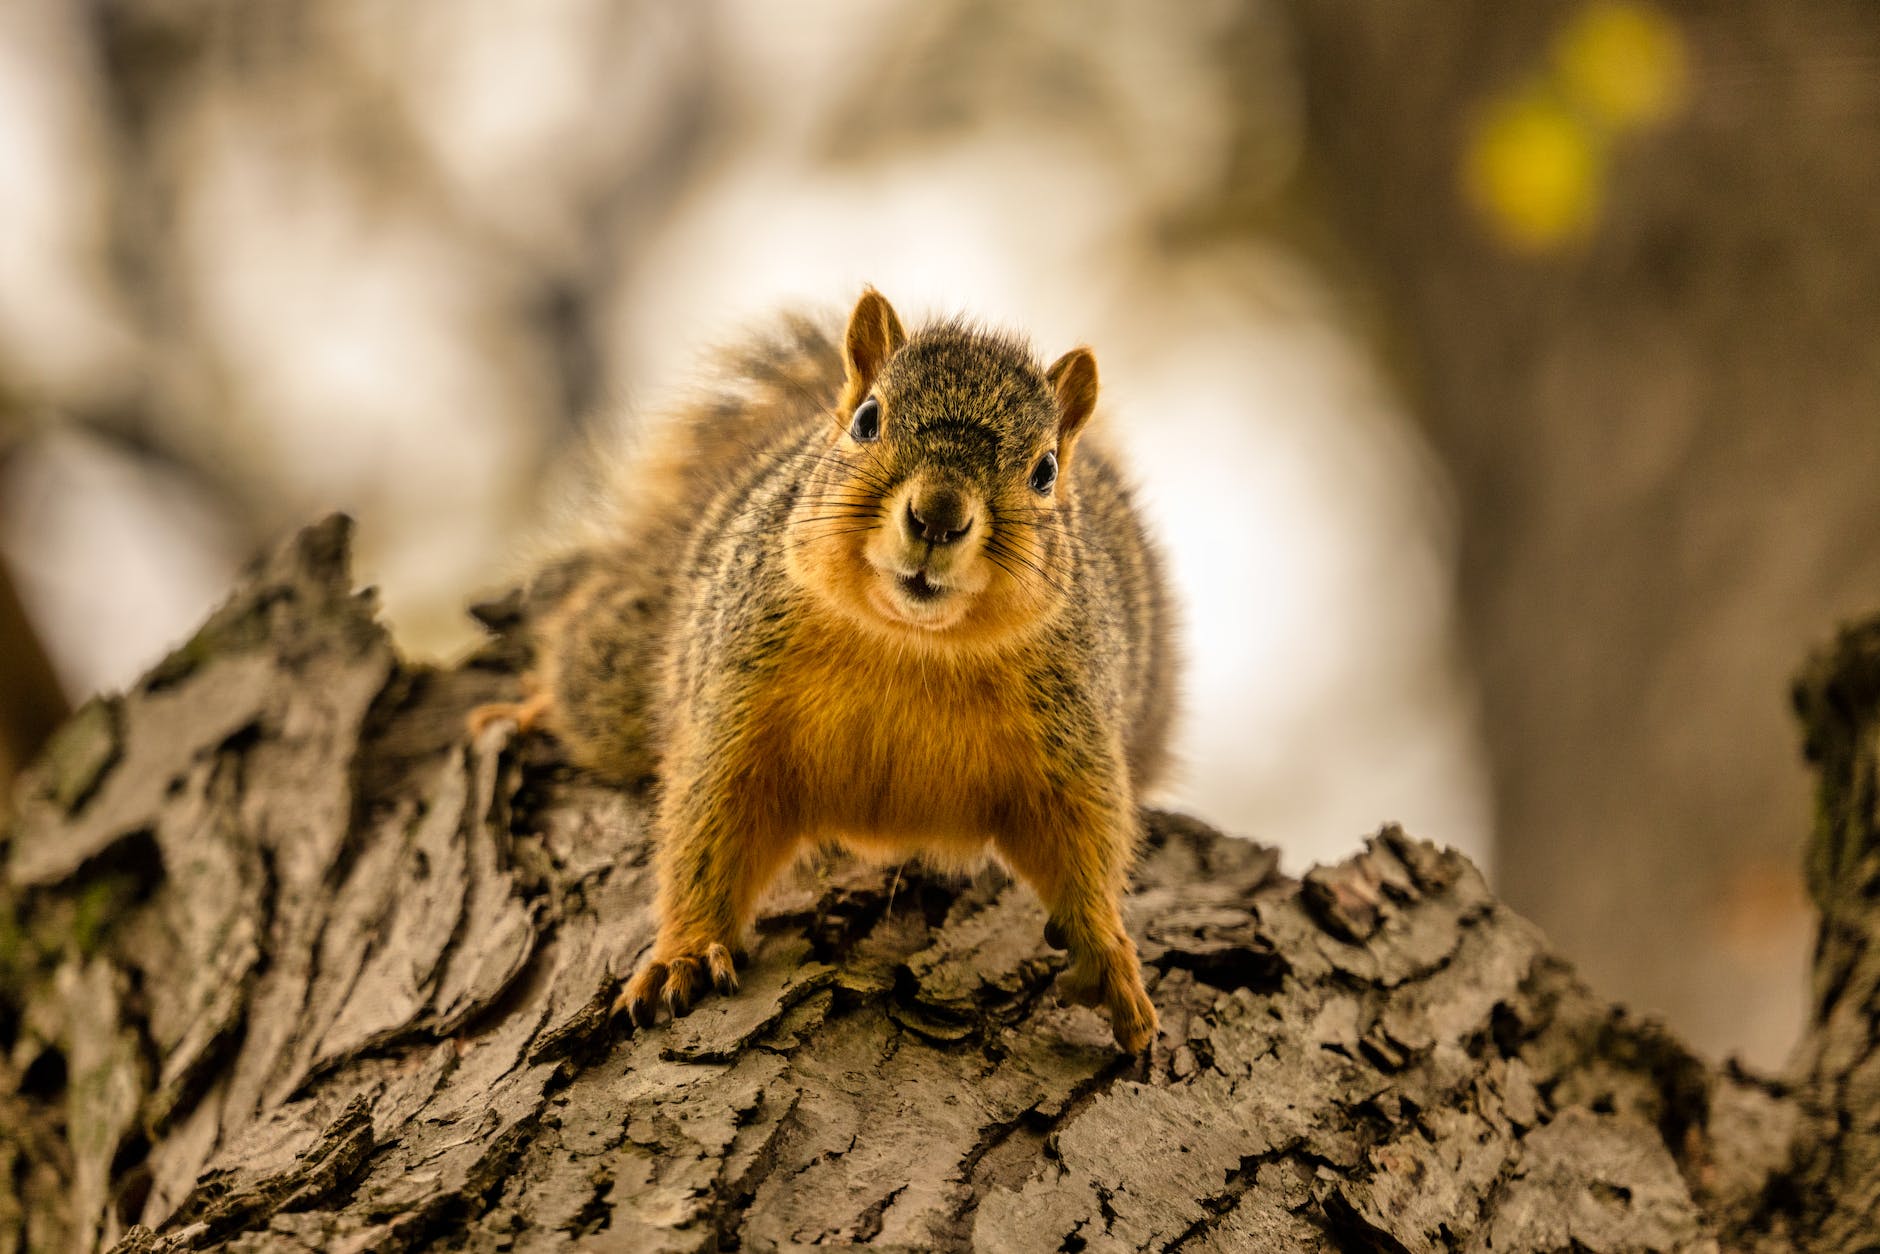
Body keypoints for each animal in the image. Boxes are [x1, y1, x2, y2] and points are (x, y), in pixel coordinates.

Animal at [470, 289, 1173, 1052]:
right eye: (868, 419)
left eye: (1045, 471)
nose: (939, 515)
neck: (907, 645)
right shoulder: (733, 702)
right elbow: (706, 825)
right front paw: (685, 952)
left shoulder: (1070, 736)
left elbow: (1083, 841)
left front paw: (1109, 956)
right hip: (622, 670)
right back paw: (530, 708)